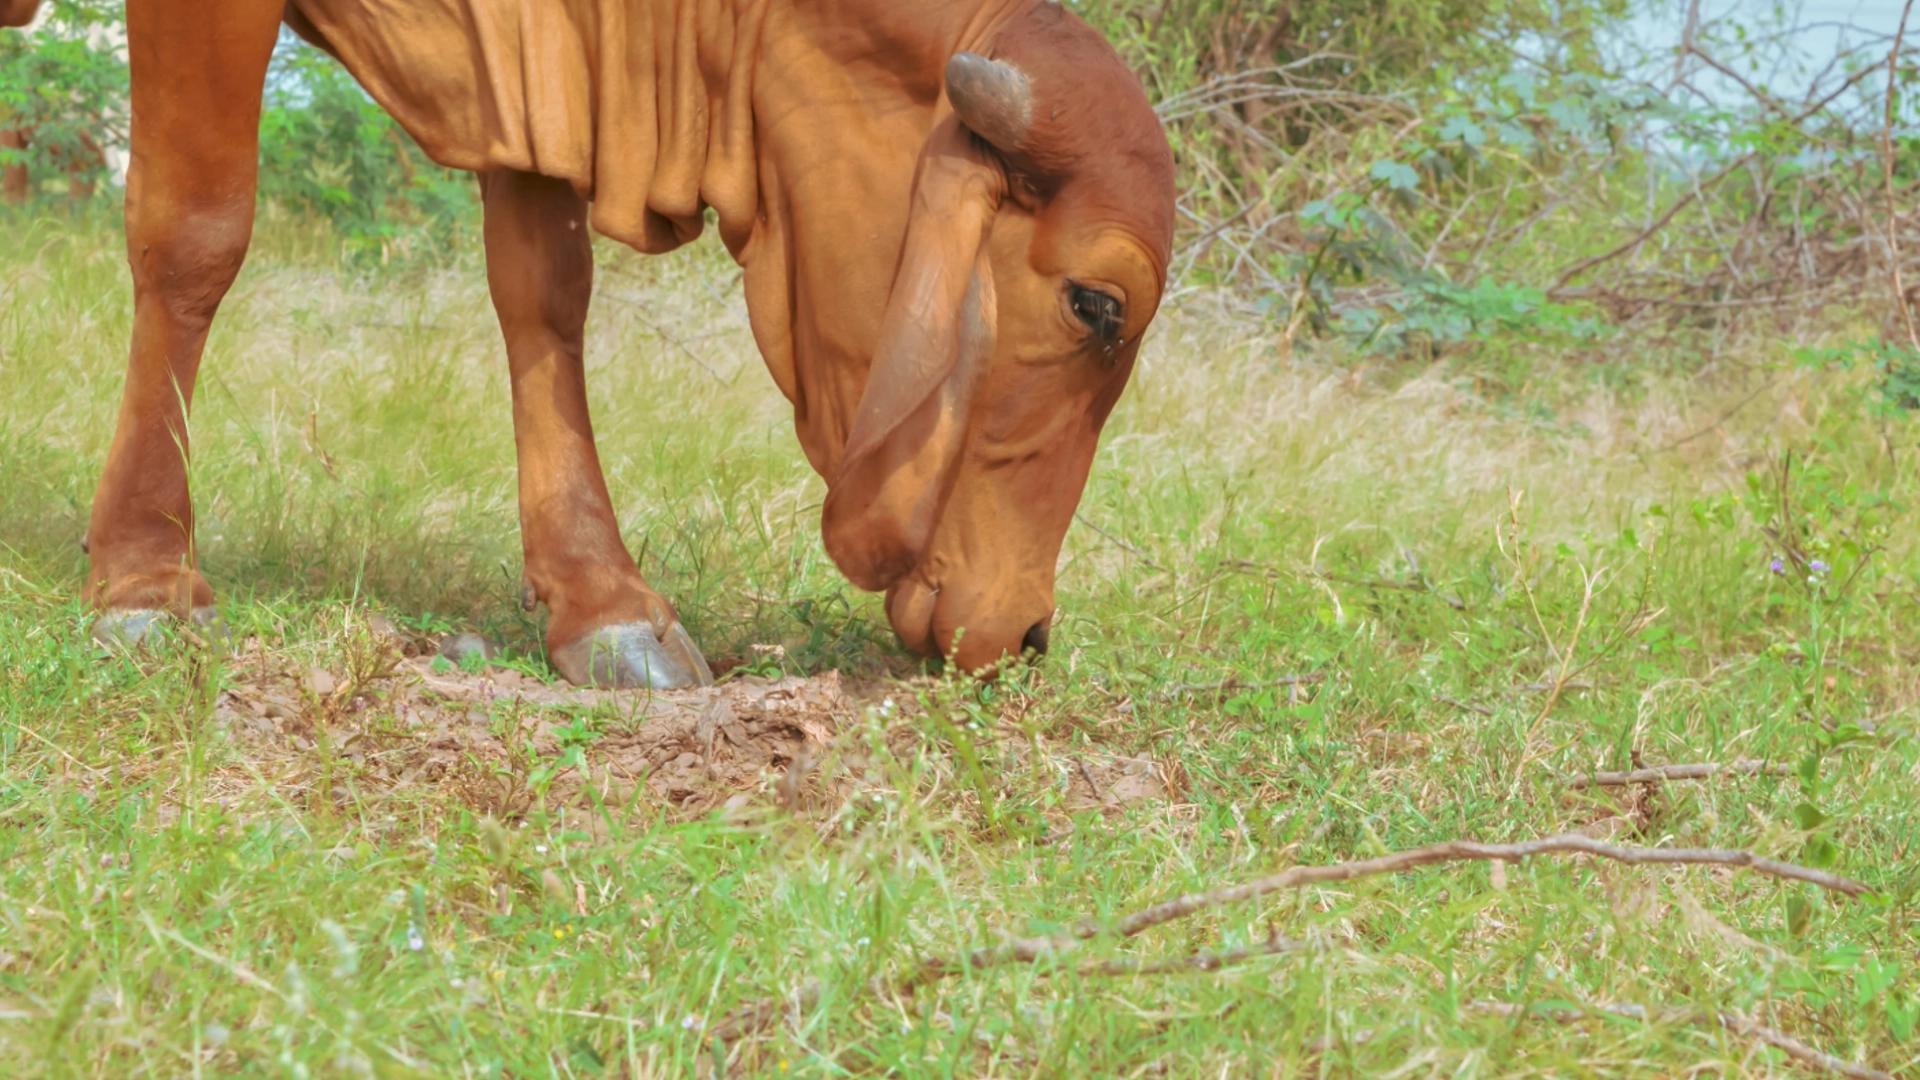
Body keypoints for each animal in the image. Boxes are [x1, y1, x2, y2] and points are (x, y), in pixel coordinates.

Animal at [34, 0, 1175, 688]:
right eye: (1096, 305)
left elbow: (545, 288)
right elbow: (198, 232)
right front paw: (143, 574)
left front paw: (600, 597)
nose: (1027, 631)